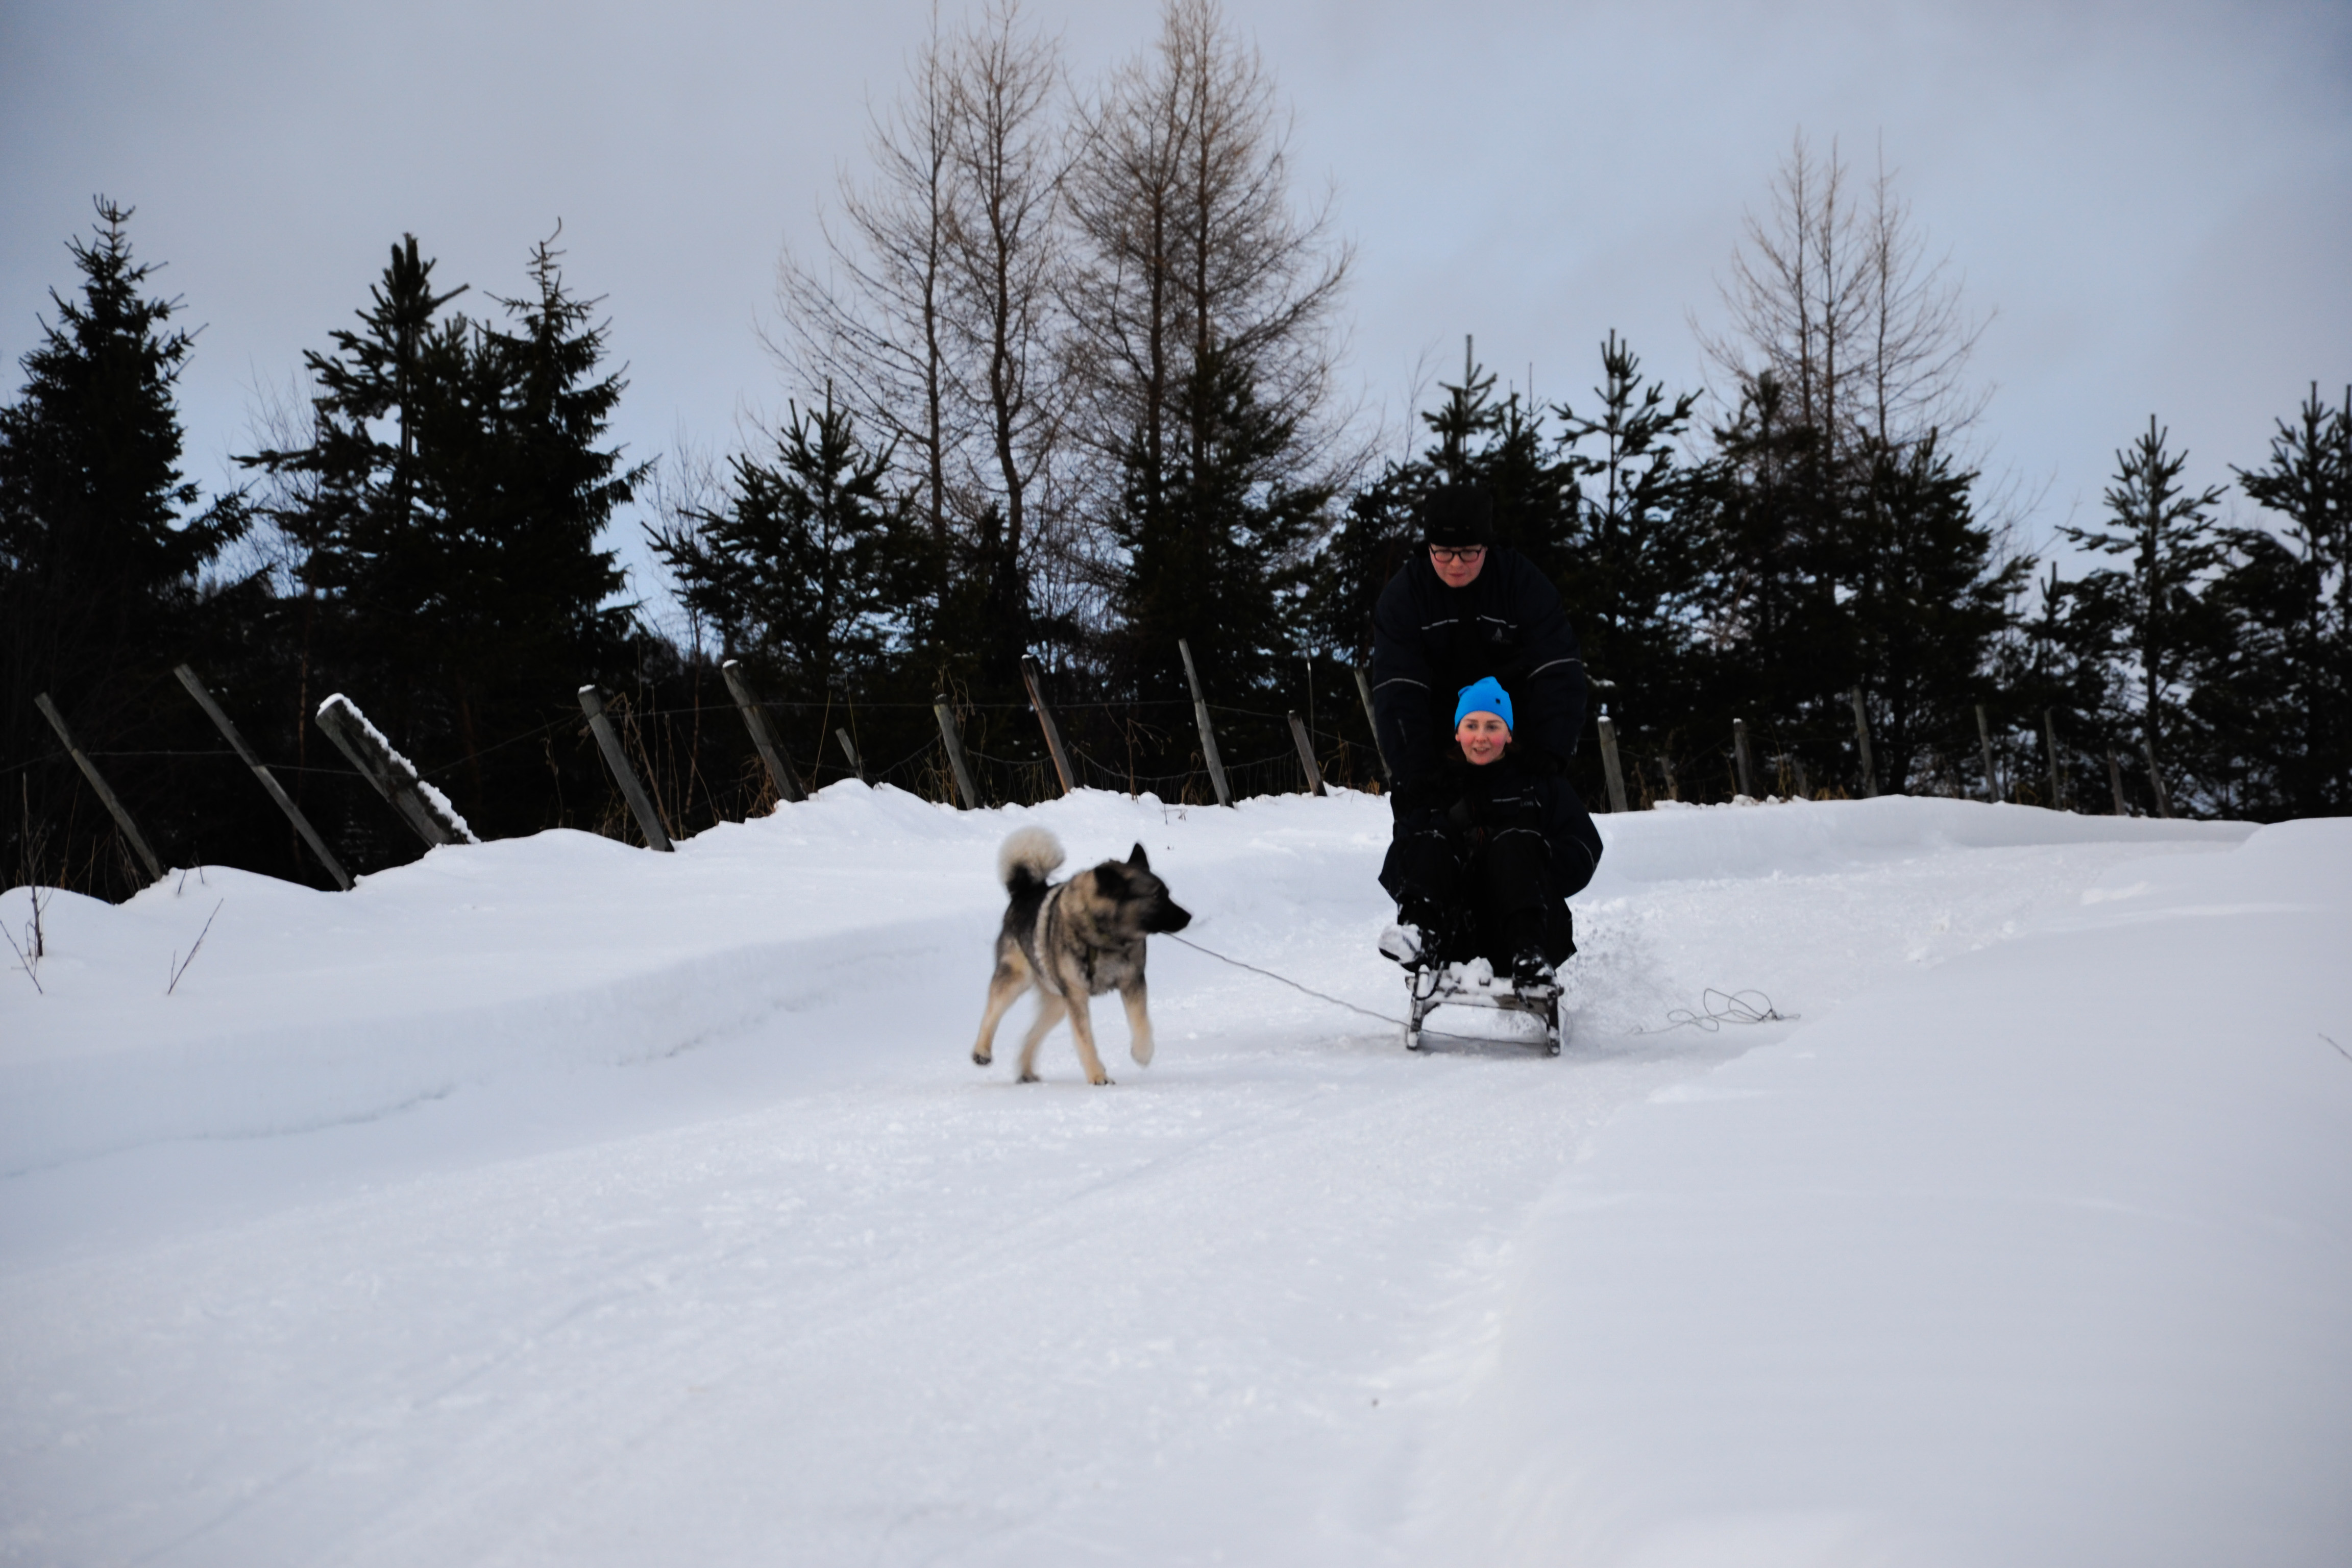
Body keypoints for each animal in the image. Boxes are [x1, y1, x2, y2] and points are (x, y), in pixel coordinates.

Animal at [971, 826, 1192, 1085]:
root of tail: (1026, 892)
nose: (1188, 917)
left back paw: (1026, 1071)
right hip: (1016, 979)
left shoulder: (1132, 982)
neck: (1102, 936)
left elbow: (1141, 1022)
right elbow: (1085, 1039)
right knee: (991, 1013)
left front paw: (1143, 1052)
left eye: (1167, 893)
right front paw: (1098, 1077)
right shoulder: (1077, 996)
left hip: (1057, 1002)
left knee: (1031, 1035)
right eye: (1158, 896)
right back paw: (982, 1052)